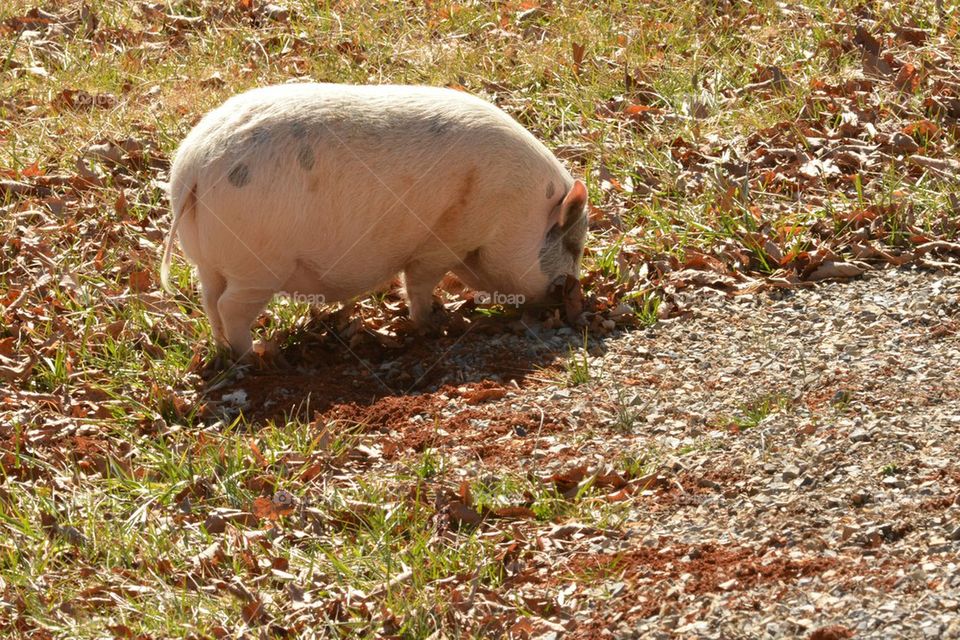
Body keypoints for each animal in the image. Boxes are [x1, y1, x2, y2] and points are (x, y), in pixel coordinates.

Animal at [161, 81, 588, 356]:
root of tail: (193, 167)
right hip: (258, 265)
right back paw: (257, 354)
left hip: (207, 261)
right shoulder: (443, 240)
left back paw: (226, 351)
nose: (574, 299)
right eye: (574, 245)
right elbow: (417, 283)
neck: (516, 210)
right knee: (230, 306)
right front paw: (432, 324)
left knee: (209, 300)